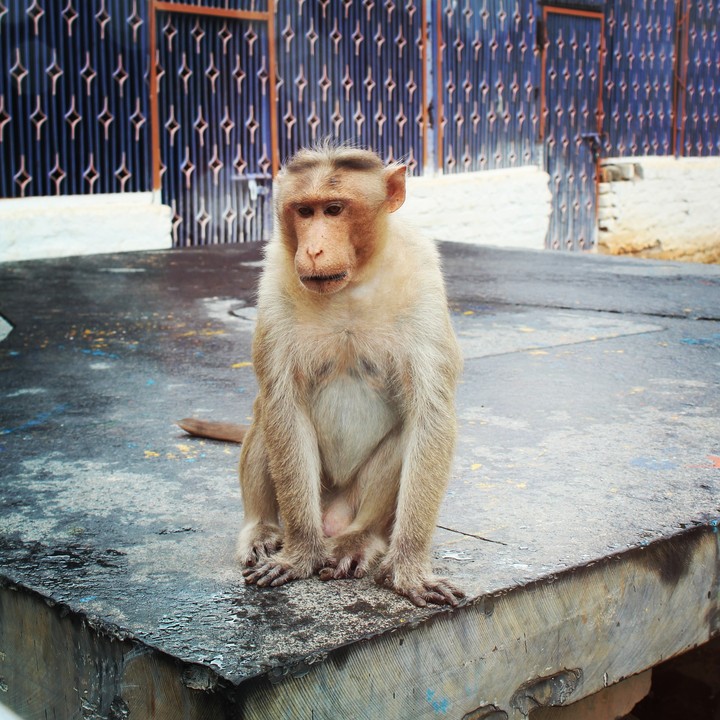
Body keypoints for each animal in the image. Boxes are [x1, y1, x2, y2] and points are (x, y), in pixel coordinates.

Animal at [180, 143, 464, 607]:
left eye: (334, 209)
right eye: (304, 211)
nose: (312, 250)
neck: (353, 283)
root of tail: (333, 515)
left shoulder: (424, 276)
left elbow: (431, 413)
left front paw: (408, 567)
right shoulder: (275, 279)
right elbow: (282, 402)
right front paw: (300, 554)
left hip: (352, 503)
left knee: (407, 436)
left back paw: (361, 539)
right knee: (265, 412)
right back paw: (262, 527)